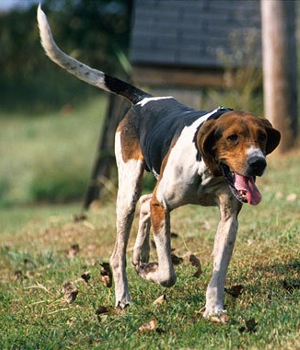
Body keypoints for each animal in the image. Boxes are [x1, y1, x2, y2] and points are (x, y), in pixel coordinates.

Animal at [38, 5, 282, 318]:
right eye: (232, 138)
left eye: (262, 137)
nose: (257, 163)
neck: (209, 171)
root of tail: (145, 98)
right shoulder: (163, 204)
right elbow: (167, 272)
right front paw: (150, 271)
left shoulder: (229, 220)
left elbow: (218, 271)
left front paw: (214, 308)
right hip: (127, 190)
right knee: (119, 250)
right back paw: (124, 295)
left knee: (144, 203)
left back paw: (140, 255)